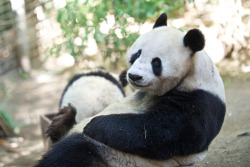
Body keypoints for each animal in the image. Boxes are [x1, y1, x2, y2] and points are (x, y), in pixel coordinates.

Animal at [35, 13, 227, 167]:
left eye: (156, 63)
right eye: (137, 54)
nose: (134, 76)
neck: (192, 71)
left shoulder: (200, 100)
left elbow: (161, 132)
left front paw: (93, 124)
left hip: (114, 158)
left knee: (71, 152)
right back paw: (62, 120)